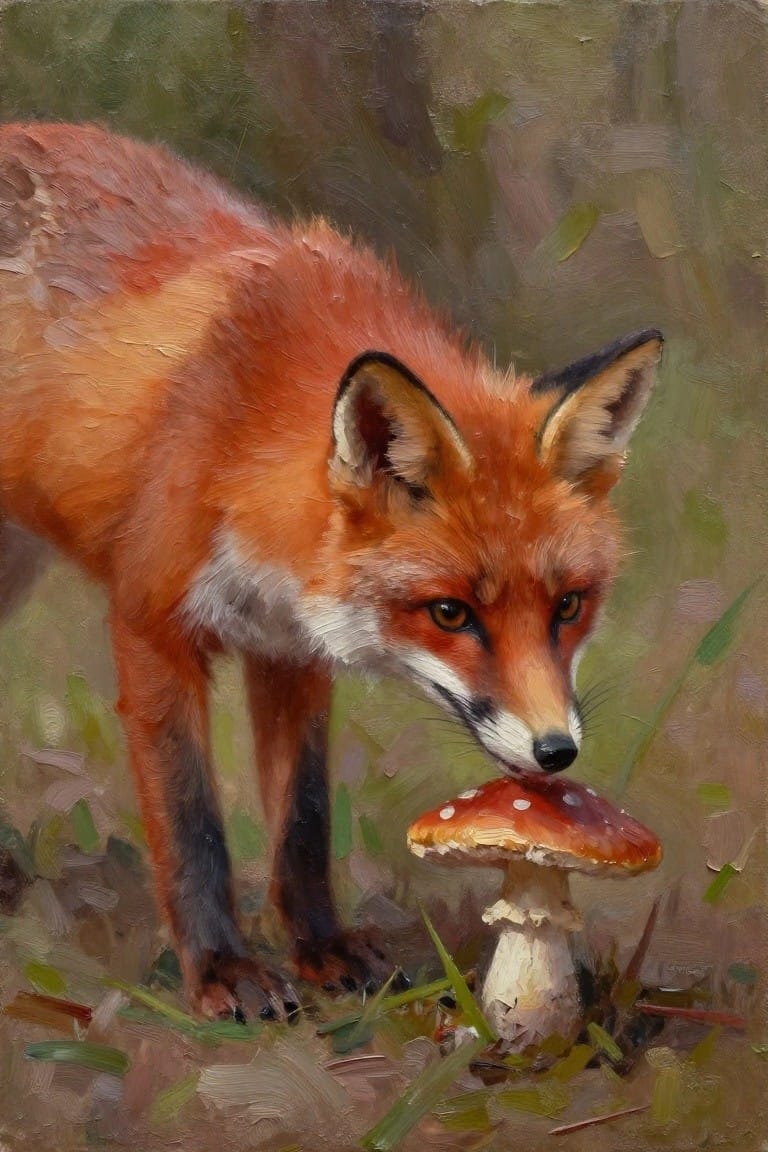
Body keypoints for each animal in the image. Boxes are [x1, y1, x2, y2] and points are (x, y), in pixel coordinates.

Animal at [0, 121, 662, 1020]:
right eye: (450, 613)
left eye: (568, 606)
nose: (556, 752)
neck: (242, 439)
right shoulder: (152, 625)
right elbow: (191, 824)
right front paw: (222, 971)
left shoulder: (290, 652)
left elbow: (304, 822)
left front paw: (322, 951)